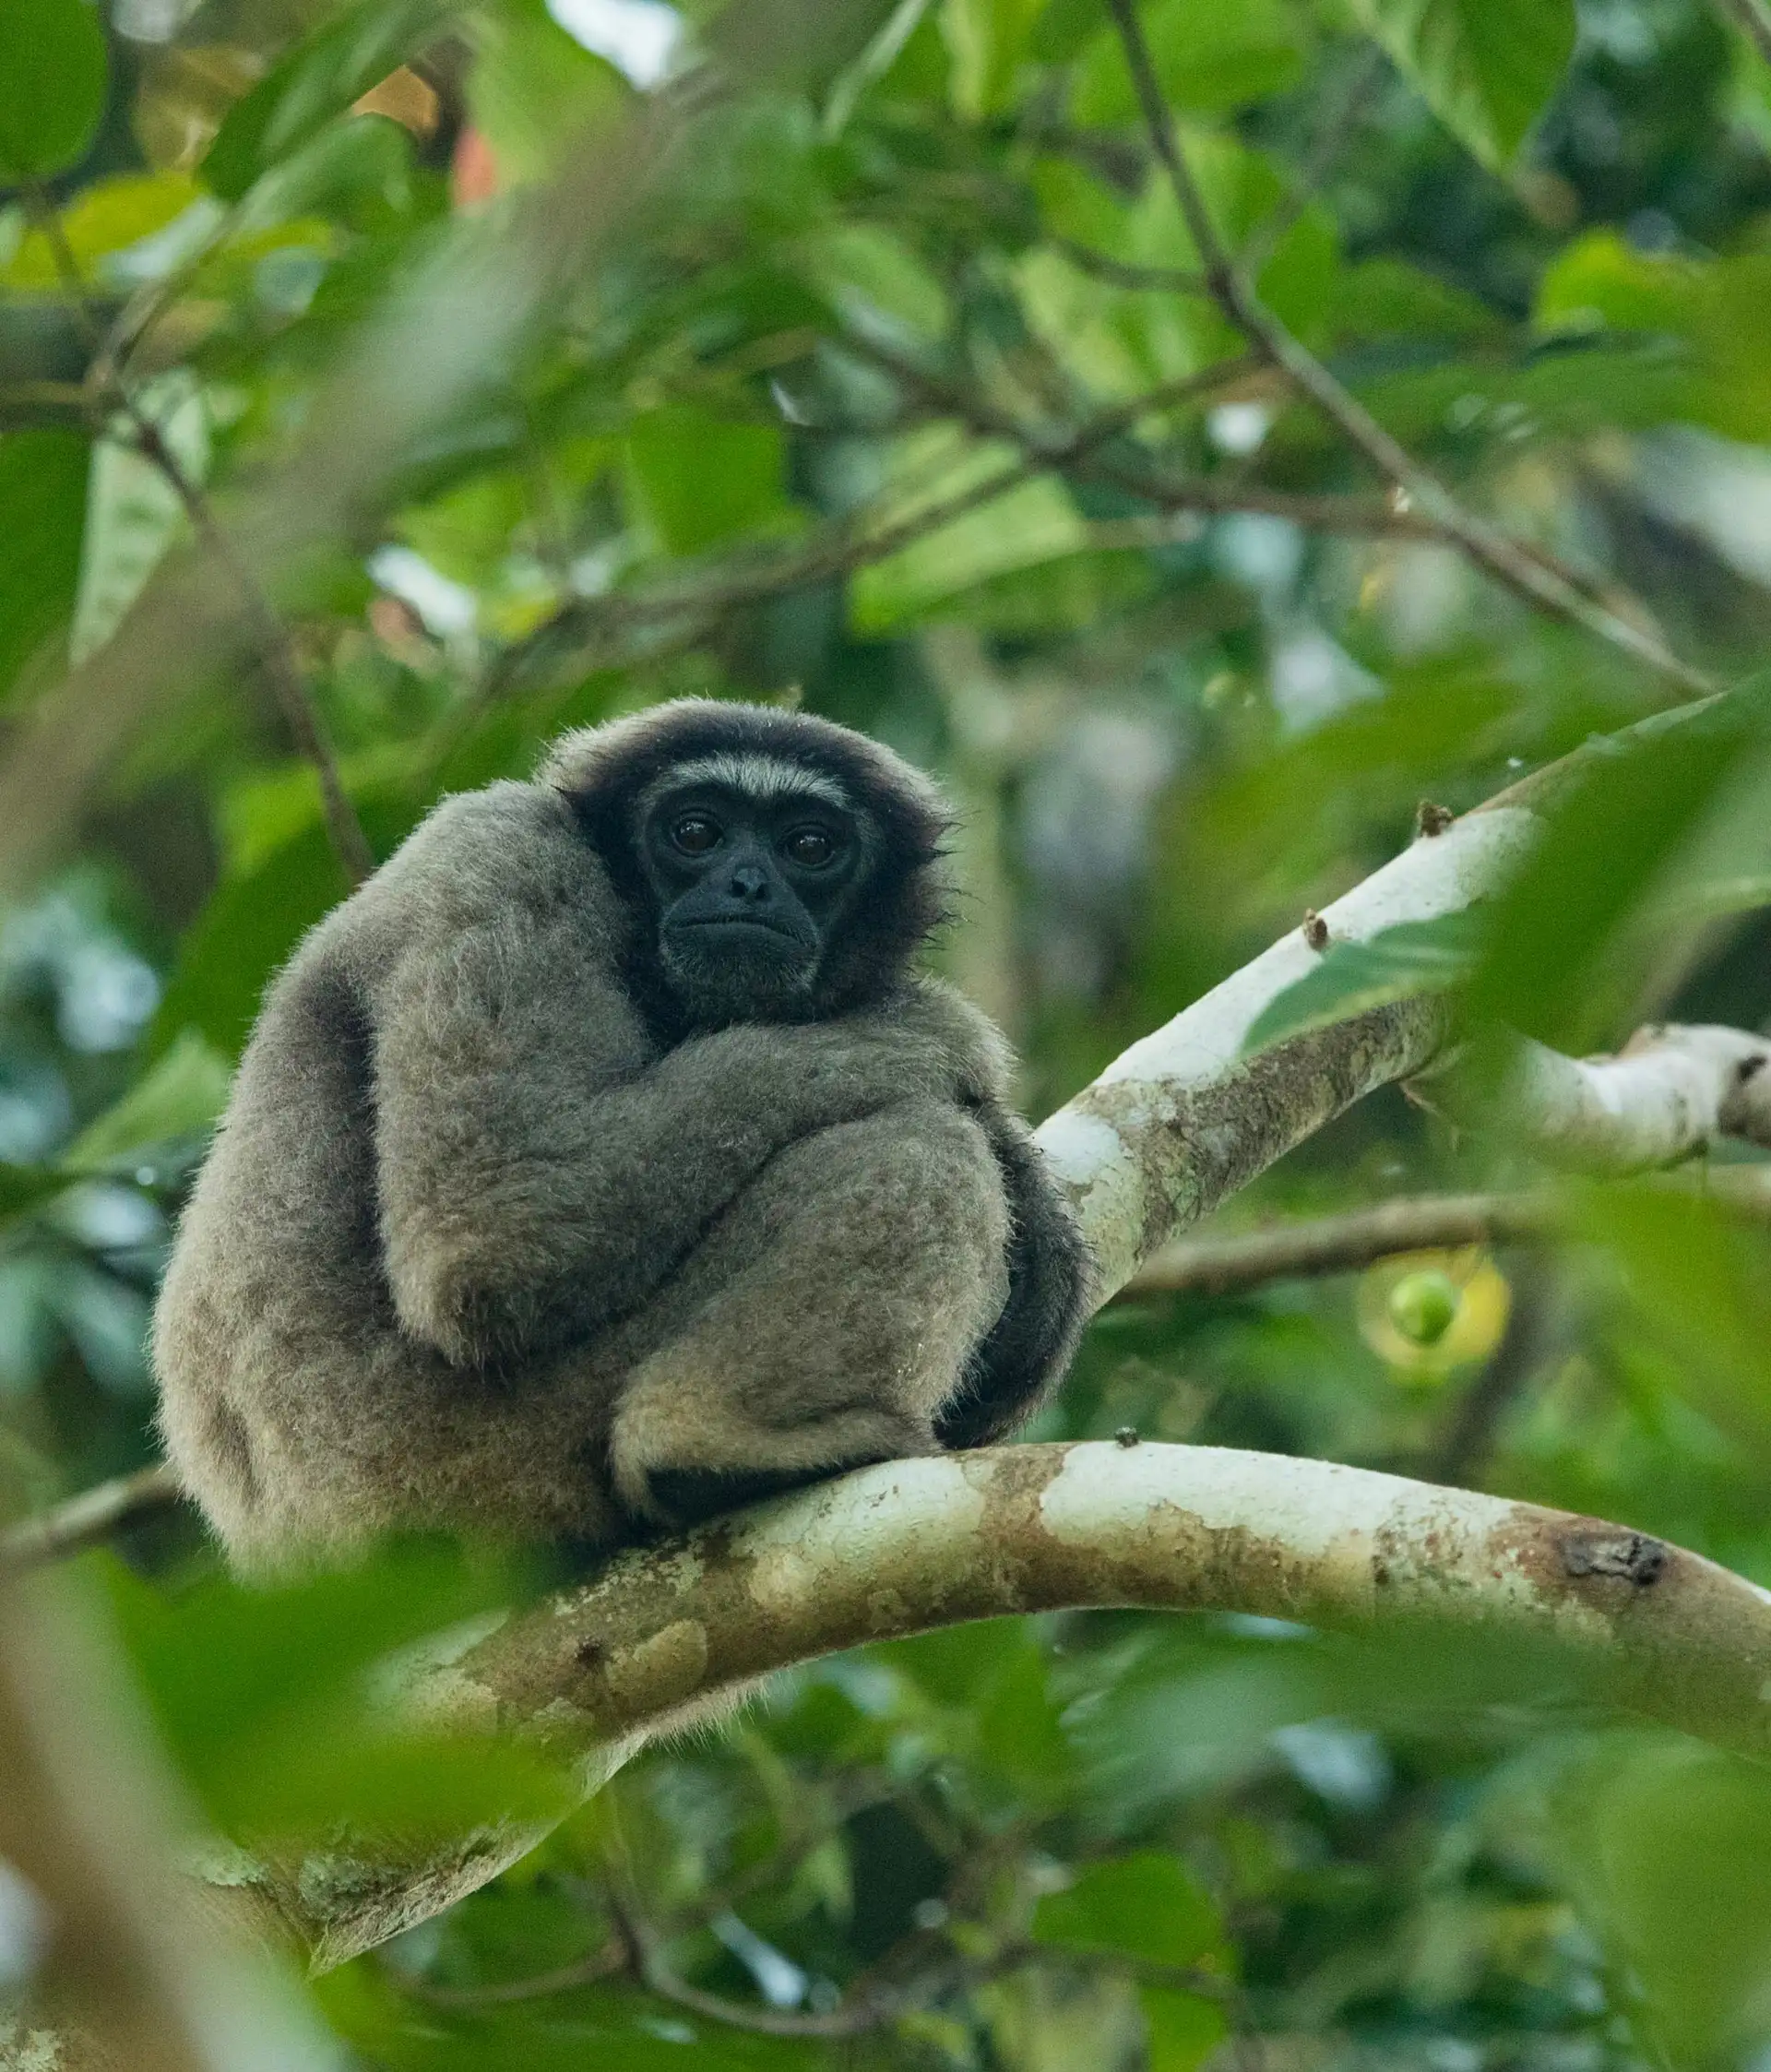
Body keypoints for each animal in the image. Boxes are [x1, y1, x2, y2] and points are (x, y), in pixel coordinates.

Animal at [152, 698, 1093, 1575]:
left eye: (810, 846)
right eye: (695, 832)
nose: (748, 884)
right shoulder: (508, 854)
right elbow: (494, 1226)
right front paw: (935, 1039)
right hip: (453, 1459)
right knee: (914, 1144)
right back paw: (715, 1443)